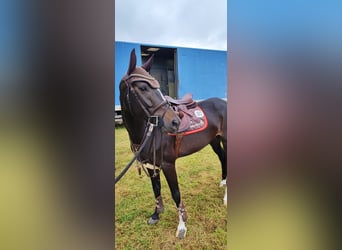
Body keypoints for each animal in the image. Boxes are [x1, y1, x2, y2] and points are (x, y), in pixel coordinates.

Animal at [118, 48, 227, 238]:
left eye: (158, 88)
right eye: (143, 87)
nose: (175, 122)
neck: (148, 132)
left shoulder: (168, 164)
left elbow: (176, 193)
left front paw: (182, 226)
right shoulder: (151, 165)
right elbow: (156, 189)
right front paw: (156, 215)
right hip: (214, 140)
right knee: (222, 158)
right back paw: (223, 182)